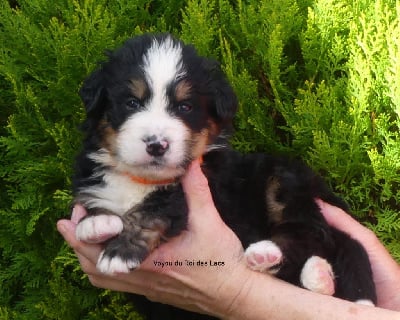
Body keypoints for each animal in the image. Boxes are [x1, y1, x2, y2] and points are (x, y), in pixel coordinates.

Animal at [73, 32, 376, 308]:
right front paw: (95, 222)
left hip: (284, 181)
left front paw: (120, 252)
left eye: (185, 106)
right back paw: (318, 276)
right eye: (131, 103)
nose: (157, 145)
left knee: (313, 232)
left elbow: (154, 209)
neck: (143, 180)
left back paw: (273, 254)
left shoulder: (211, 187)